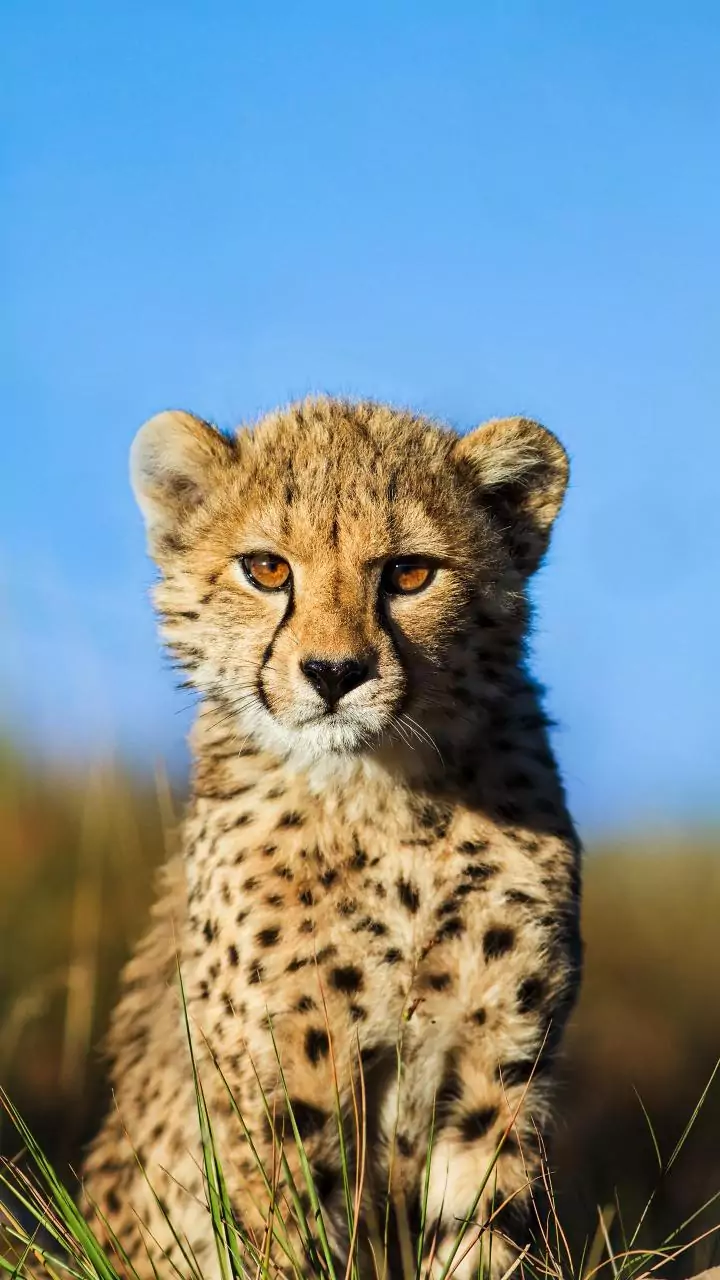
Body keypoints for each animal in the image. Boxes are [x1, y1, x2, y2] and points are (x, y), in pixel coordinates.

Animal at [81, 396, 582, 1279]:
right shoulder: (284, 1080)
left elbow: (478, 1226)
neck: (384, 797)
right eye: (267, 569)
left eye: (410, 573)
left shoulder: (496, 1063)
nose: (334, 673)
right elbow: (287, 1230)